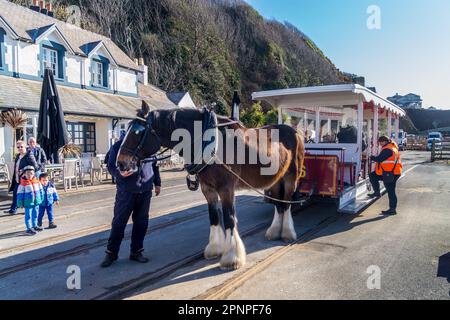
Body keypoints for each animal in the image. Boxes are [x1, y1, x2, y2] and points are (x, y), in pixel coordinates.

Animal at [116, 102, 306, 270]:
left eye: (138, 131)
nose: (120, 163)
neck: (210, 143)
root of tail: (295, 131)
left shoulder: (226, 188)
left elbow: (229, 218)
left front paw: (232, 258)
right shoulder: (208, 189)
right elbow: (214, 217)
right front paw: (215, 249)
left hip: (291, 178)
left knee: (286, 203)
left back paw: (287, 233)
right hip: (277, 180)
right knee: (279, 204)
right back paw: (274, 231)